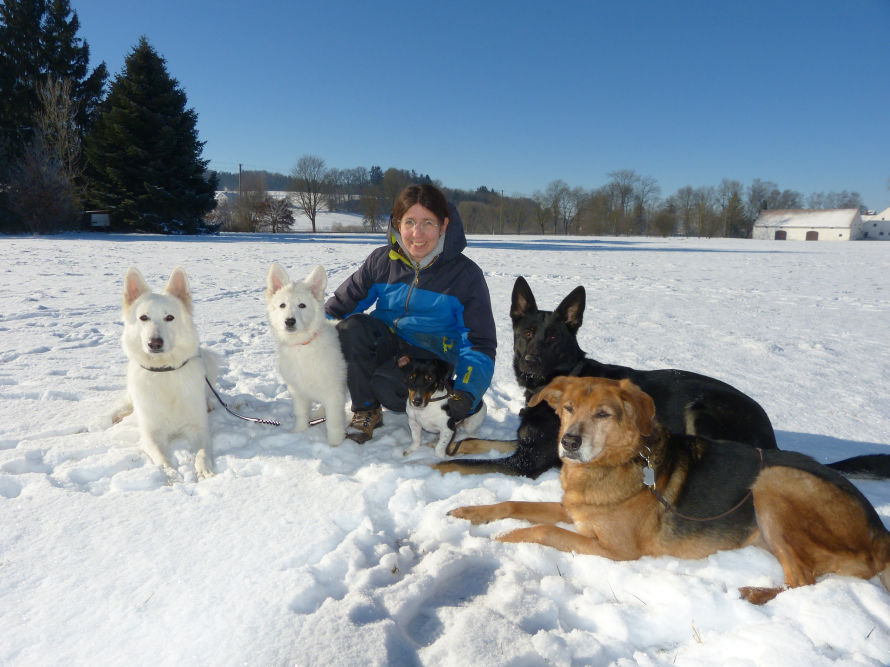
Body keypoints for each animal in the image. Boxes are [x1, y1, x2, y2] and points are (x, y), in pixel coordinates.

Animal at [119, 268, 217, 482]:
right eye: (144, 318)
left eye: (170, 317)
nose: (154, 343)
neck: (164, 371)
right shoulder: (151, 433)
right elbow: (161, 457)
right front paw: (171, 473)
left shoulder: (198, 427)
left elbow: (202, 452)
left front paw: (204, 469)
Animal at [264, 264, 346, 446]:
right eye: (282, 305)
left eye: (302, 305)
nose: (289, 321)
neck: (302, 346)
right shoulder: (297, 390)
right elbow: (301, 413)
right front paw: (299, 432)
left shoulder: (334, 392)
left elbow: (334, 423)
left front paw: (335, 445)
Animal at [450, 378, 888, 604]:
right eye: (568, 408)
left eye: (604, 414)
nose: (568, 443)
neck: (617, 462)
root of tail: (879, 532)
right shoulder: (574, 511)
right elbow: (513, 501)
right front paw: (471, 513)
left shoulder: (616, 550)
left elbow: (541, 530)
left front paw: (505, 538)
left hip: (773, 479)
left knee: (804, 580)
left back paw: (751, 591)